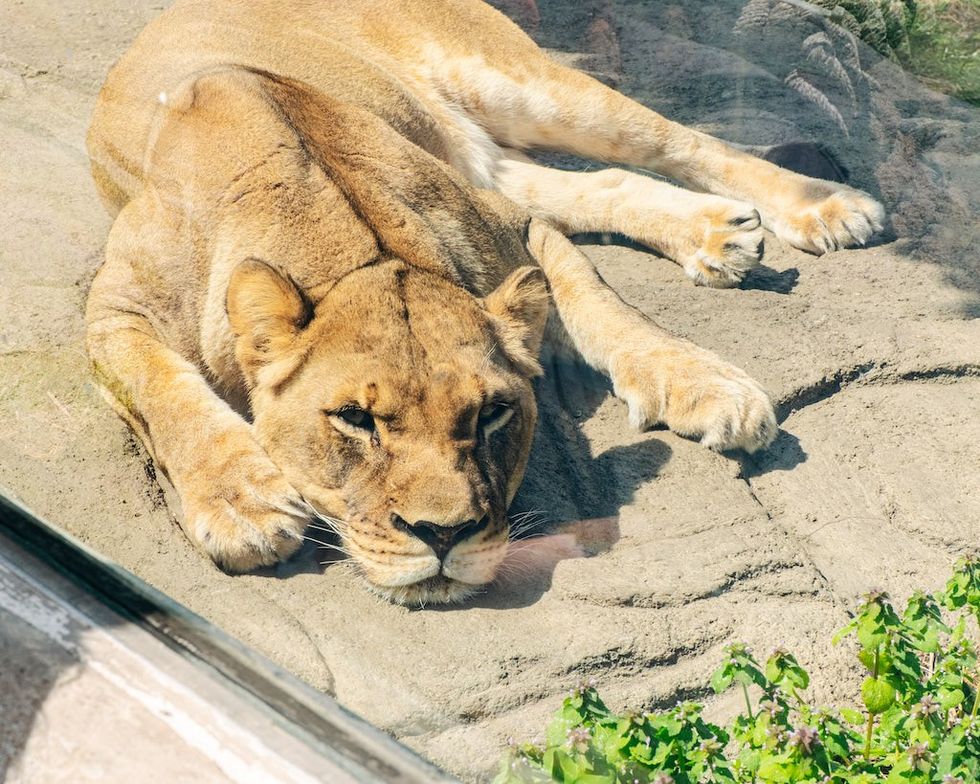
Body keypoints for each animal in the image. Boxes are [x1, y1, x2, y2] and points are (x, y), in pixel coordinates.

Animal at [85, 0, 884, 604]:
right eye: (355, 421)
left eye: (493, 414)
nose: (444, 537)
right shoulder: (111, 305)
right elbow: (160, 386)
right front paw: (243, 501)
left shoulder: (511, 227)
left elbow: (608, 309)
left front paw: (704, 381)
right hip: (477, 146)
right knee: (597, 183)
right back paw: (719, 234)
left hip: (520, 83)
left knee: (679, 144)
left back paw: (826, 209)